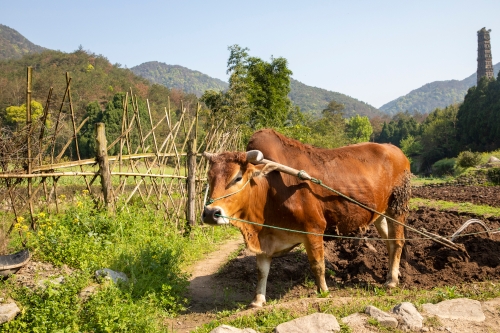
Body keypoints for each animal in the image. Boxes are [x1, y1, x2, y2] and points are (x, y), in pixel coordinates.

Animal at [202, 128, 410, 308]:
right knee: (389, 242)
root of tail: (396, 151)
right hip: (380, 214)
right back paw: (391, 275)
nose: (210, 213)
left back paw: (392, 281)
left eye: (237, 177)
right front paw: (258, 300)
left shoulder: (313, 229)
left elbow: (317, 264)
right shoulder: (265, 237)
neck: (269, 189)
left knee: (398, 241)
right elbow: (262, 271)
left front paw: (324, 291)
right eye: (209, 178)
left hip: (397, 207)